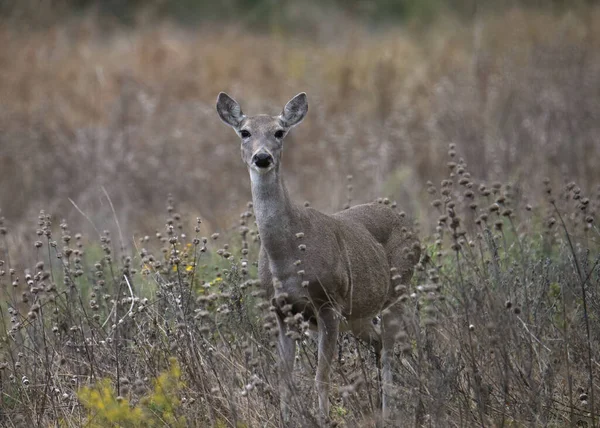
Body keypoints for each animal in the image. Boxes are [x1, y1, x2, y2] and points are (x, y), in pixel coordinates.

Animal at [217, 92, 422, 422]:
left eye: (279, 132)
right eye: (245, 132)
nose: (262, 157)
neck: (288, 258)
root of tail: (412, 230)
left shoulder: (329, 303)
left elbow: (321, 376)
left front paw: (324, 418)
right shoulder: (281, 310)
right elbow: (285, 377)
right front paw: (286, 419)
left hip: (396, 292)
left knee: (396, 349)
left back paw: (394, 410)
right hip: (358, 314)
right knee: (381, 343)